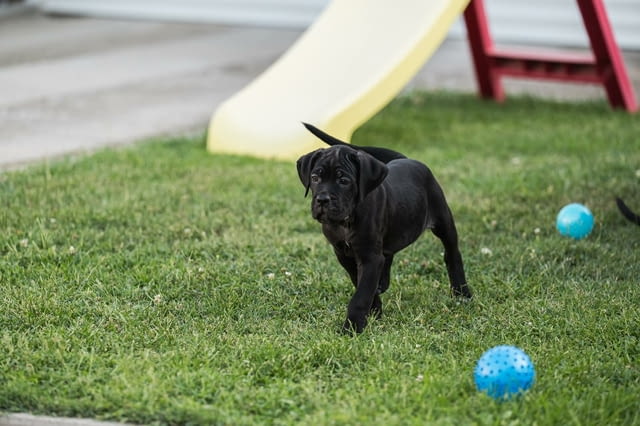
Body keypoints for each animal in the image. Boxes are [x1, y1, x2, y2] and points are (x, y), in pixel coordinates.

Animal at [296, 123, 470, 332]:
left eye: (344, 181)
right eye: (315, 177)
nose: (322, 200)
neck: (347, 220)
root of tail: (407, 159)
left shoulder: (369, 256)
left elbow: (361, 294)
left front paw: (352, 327)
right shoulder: (344, 255)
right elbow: (360, 283)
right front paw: (374, 311)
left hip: (443, 219)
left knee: (452, 253)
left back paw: (462, 292)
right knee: (388, 255)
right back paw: (383, 283)